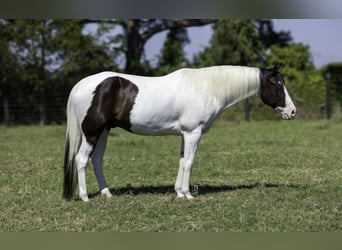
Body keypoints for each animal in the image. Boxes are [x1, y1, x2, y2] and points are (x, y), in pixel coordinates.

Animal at [63, 64, 296, 201]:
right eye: (277, 84)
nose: (292, 112)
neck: (206, 88)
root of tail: (81, 84)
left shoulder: (185, 134)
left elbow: (182, 160)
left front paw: (178, 192)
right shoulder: (193, 133)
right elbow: (190, 162)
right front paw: (187, 194)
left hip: (104, 132)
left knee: (97, 160)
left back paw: (107, 193)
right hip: (92, 132)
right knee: (81, 159)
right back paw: (85, 197)